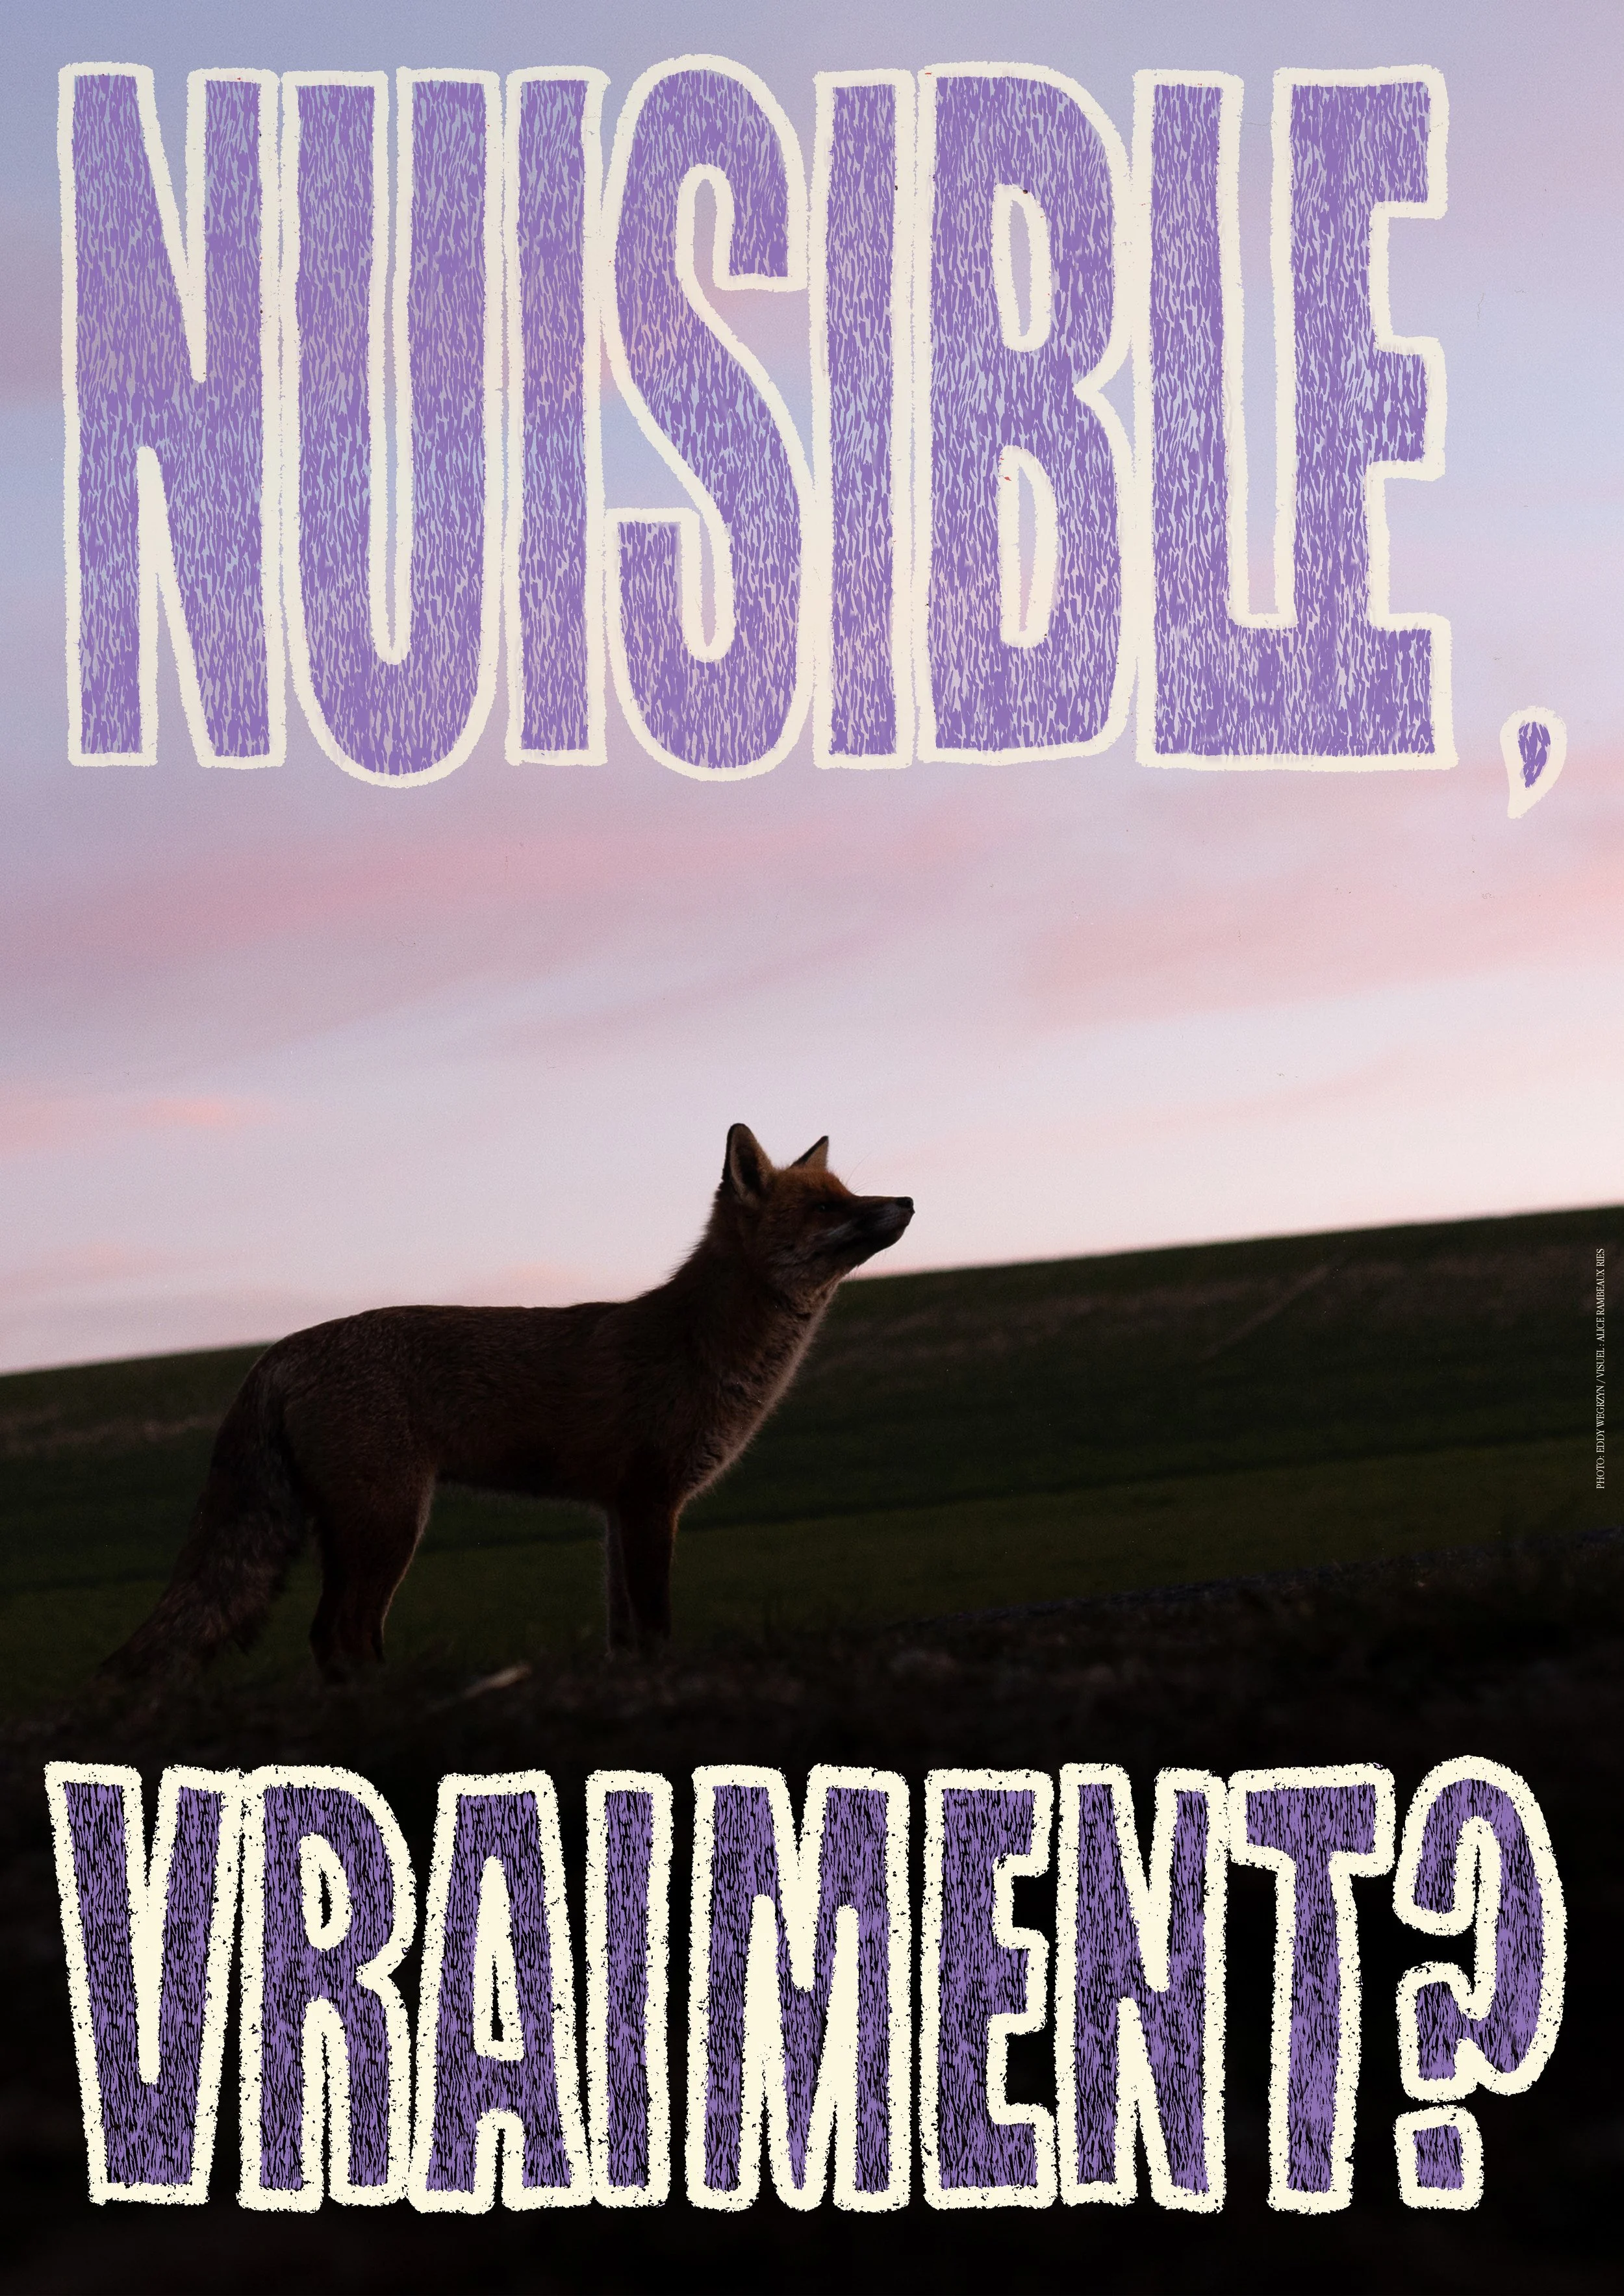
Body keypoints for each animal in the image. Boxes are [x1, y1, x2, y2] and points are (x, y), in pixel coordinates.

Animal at [103, 1124, 913, 1683]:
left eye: (849, 1193)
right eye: (825, 1205)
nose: (906, 1199)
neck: (703, 1344)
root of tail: (279, 1350)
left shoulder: (616, 1512)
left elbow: (623, 1631)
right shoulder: (650, 1500)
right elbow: (655, 1624)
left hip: (361, 1529)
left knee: (329, 1634)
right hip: (389, 1525)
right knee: (342, 1631)